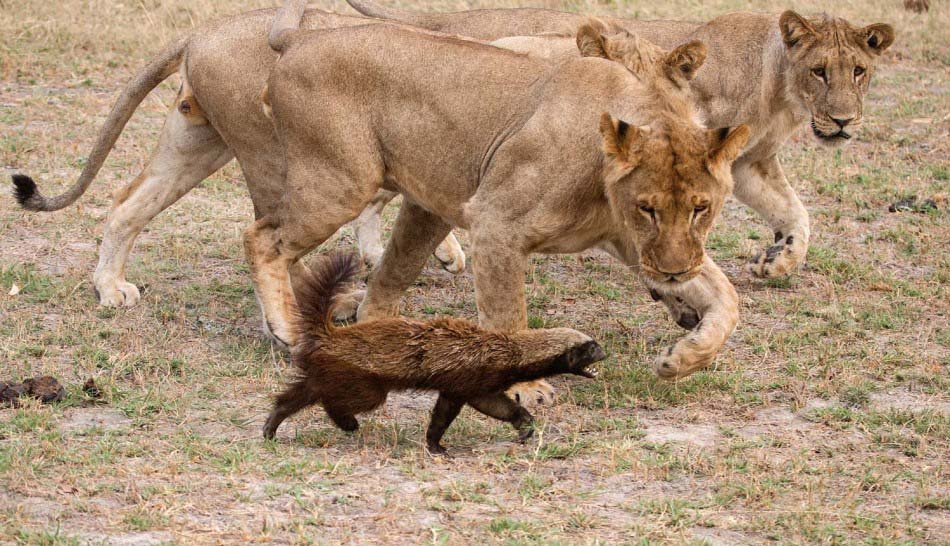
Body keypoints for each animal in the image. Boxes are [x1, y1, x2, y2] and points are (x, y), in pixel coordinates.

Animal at [253, 5, 752, 392]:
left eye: (701, 209)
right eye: (647, 208)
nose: (674, 274)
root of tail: (300, 38)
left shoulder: (632, 242)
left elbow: (725, 294)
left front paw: (683, 359)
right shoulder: (497, 224)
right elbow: (509, 318)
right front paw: (525, 390)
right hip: (341, 182)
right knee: (262, 238)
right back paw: (286, 329)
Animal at [346, 0, 896, 280]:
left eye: (859, 71)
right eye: (820, 71)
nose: (843, 121)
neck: (779, 88)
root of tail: (453, 22)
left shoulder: (748, 163)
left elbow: (795, 214)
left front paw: (779, 259)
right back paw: (432, 253)